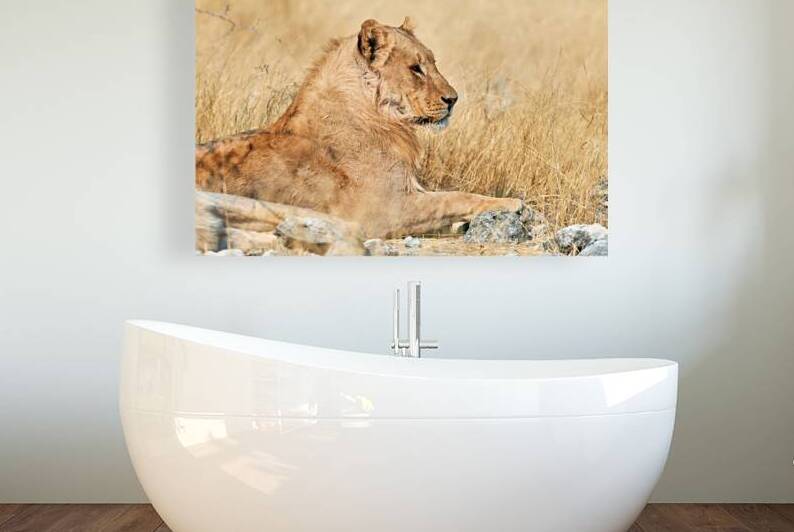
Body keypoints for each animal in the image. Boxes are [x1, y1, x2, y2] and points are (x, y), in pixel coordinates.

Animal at [196, 17, 523, 238]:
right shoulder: (383, 212)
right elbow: (454, 197)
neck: (384, 119)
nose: (453, 99)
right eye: (415, 68)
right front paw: (512, 203)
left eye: (433, 62)